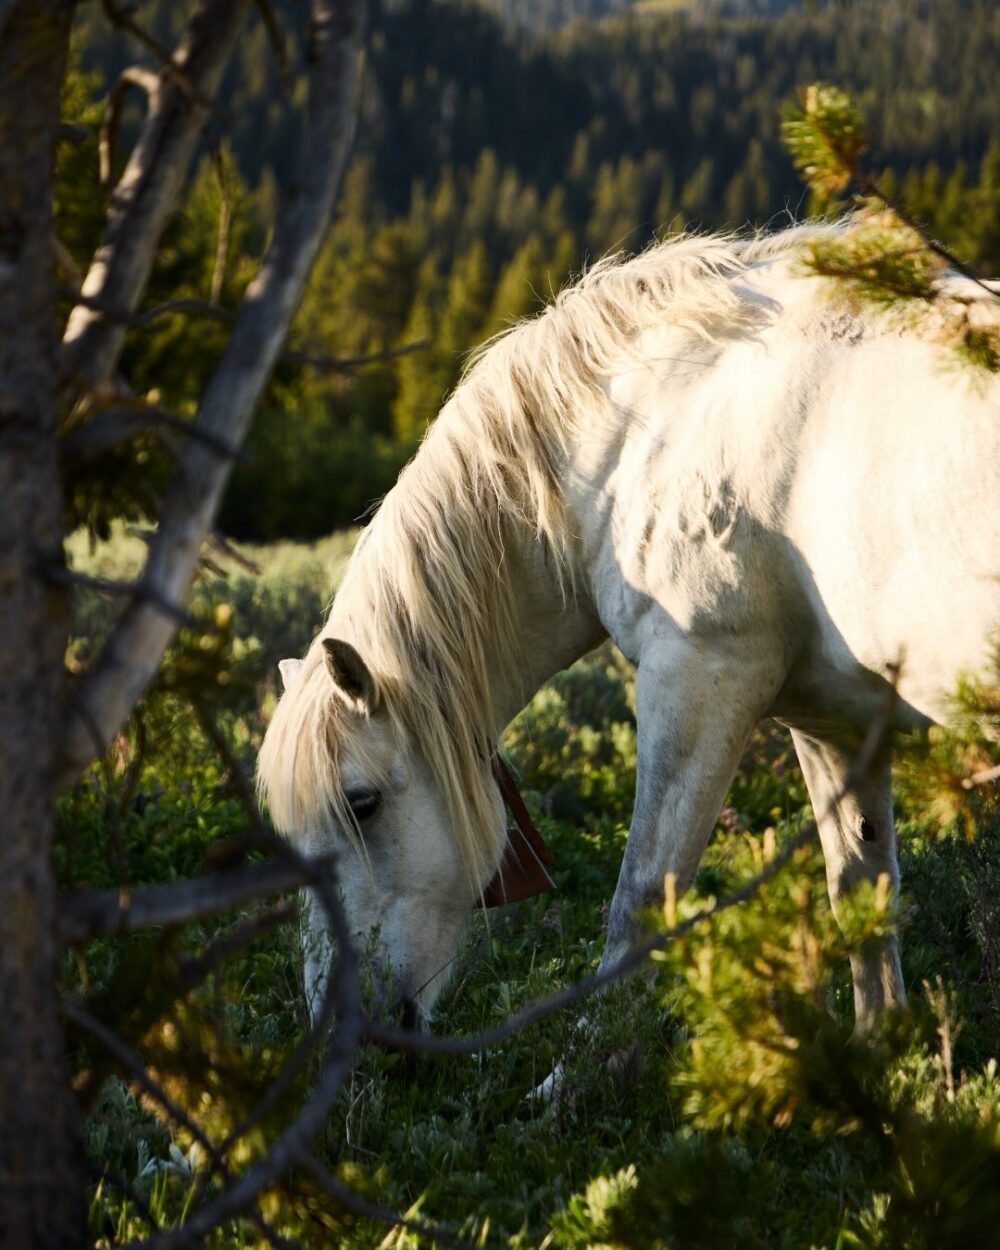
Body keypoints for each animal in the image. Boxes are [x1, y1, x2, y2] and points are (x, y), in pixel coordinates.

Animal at [257, 222, 999, 1032]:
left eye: (362, 803)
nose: (342, 1027)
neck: (663, 414)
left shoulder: (699, 676)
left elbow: (639, 896)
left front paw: (589, 1060)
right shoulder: (832, 720)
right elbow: (861, 889)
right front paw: (881, 1047)